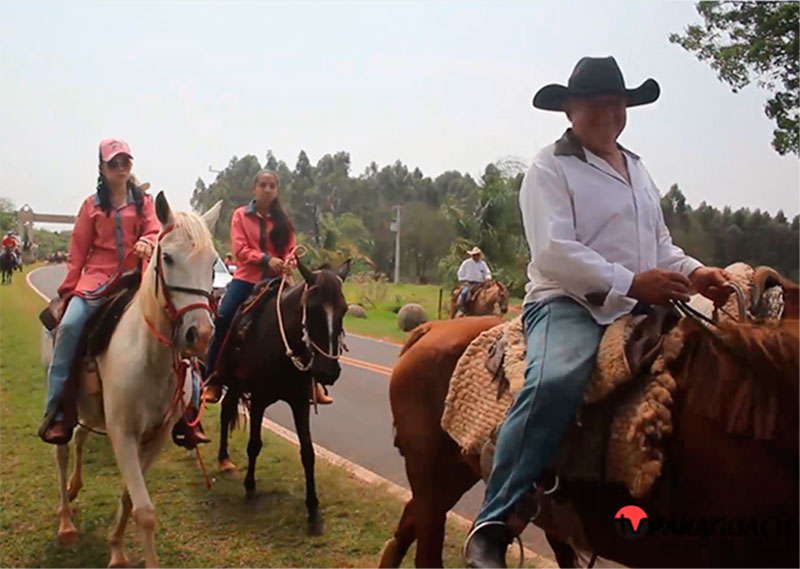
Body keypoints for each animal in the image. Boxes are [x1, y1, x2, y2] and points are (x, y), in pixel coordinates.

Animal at [54, 193, 220, 564]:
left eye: (214, 261)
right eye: (167, 257)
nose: (200, 335)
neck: (151, 361)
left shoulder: (155, 437)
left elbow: (131, 498)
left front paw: (116, 545)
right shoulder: (123, 433)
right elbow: (144, 511)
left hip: (92, 409)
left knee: (79, 437)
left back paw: (74, 487)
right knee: (62, 448)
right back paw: (66, 521)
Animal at [216, 260, 350, 536]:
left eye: (344, 309)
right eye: (312, 310)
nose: (328, 372)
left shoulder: (299, 403)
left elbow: (308, 453)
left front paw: (313, 511)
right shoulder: (258, 399)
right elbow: (254, 444)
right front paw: (250, 487)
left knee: (226, 409)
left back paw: (224, 459)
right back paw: (223, 459)